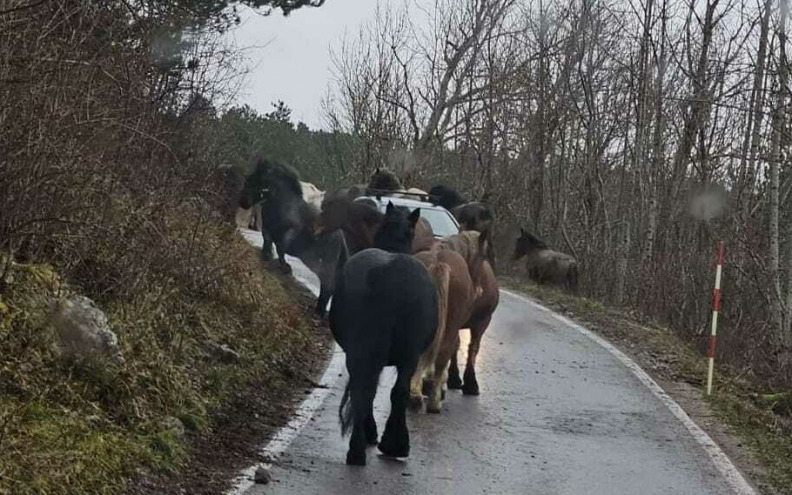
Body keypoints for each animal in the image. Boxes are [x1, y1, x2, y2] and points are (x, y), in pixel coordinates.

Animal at [238, 158, 344, 314]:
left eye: (256, 179)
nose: (243, 201)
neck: (283, 204)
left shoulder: (289, 232)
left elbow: (281, 247)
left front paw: (285, 267)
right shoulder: (267, 229)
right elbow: (267, 242)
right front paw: (267, 256)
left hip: (324, 264)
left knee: (329, 285)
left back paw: (320, 310)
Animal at [330, 202, 440, 464]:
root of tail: (390, 271)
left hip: (365, 353)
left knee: (364, 391)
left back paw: (359, 448)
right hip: (408, 355)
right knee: (396, 392)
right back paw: (394, 445)